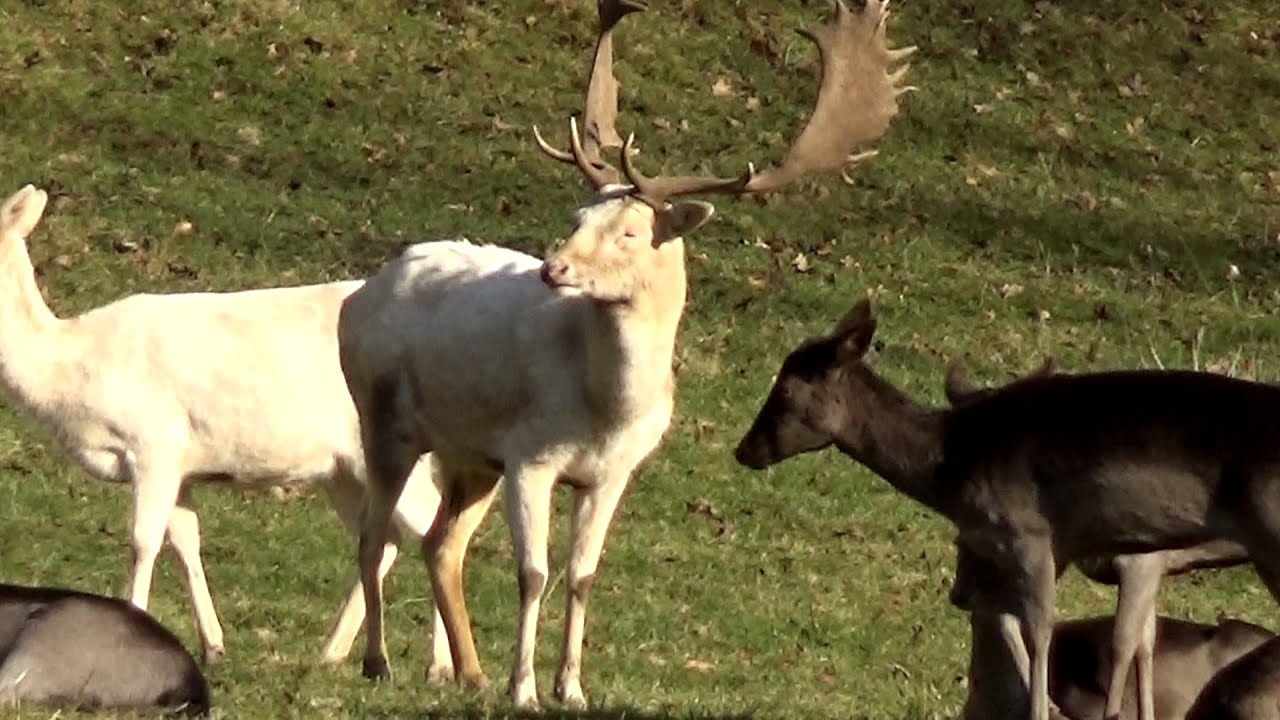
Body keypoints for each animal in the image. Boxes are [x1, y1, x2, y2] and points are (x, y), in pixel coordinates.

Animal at [338, 0, 916, 709]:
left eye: (632, 232)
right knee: (374, 535)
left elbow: (581, 576)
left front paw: (571, 688)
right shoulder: (529, 456)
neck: (606, 409)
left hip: (470, 456)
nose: (553, 268)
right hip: (382, 415)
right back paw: (379, 662)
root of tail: (364, 290)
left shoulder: (614, 472)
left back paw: (469, 673)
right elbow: (533, 572)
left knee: (441, 544)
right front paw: (524, 690)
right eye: (579, 216)